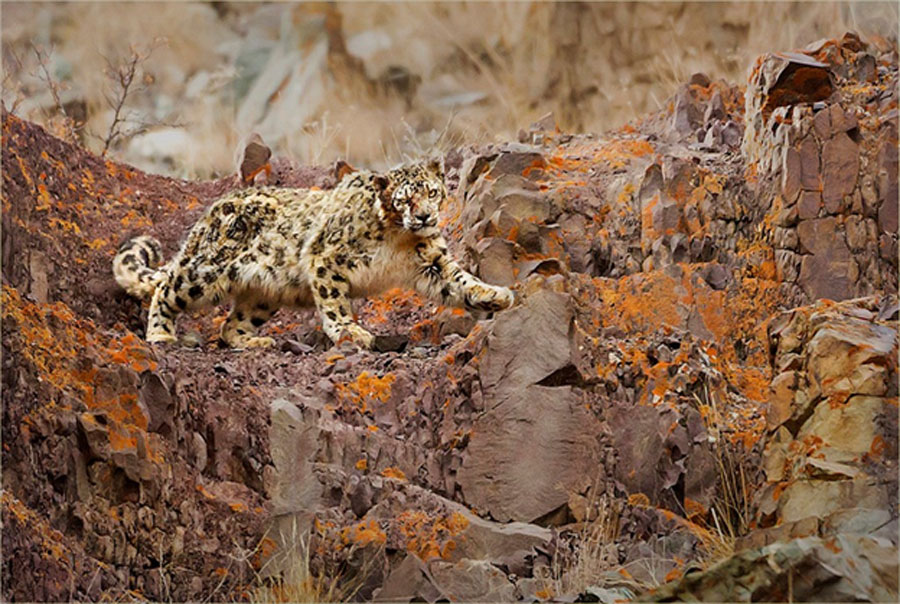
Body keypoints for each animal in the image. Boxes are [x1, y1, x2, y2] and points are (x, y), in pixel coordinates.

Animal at [112, 159, 514, 349]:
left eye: (431, 192)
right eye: (404, 199)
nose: (425, 217)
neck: (400, 240)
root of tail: (210, 212)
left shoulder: (432, 261)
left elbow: (461, 282)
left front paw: (497, 295)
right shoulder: (326, 257)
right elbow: (334, 300)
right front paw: (350, 331)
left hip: (262, 296)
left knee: (230, 325)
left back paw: (255, 341)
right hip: (203, 273)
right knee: (166, 289)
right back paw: (160, 335)